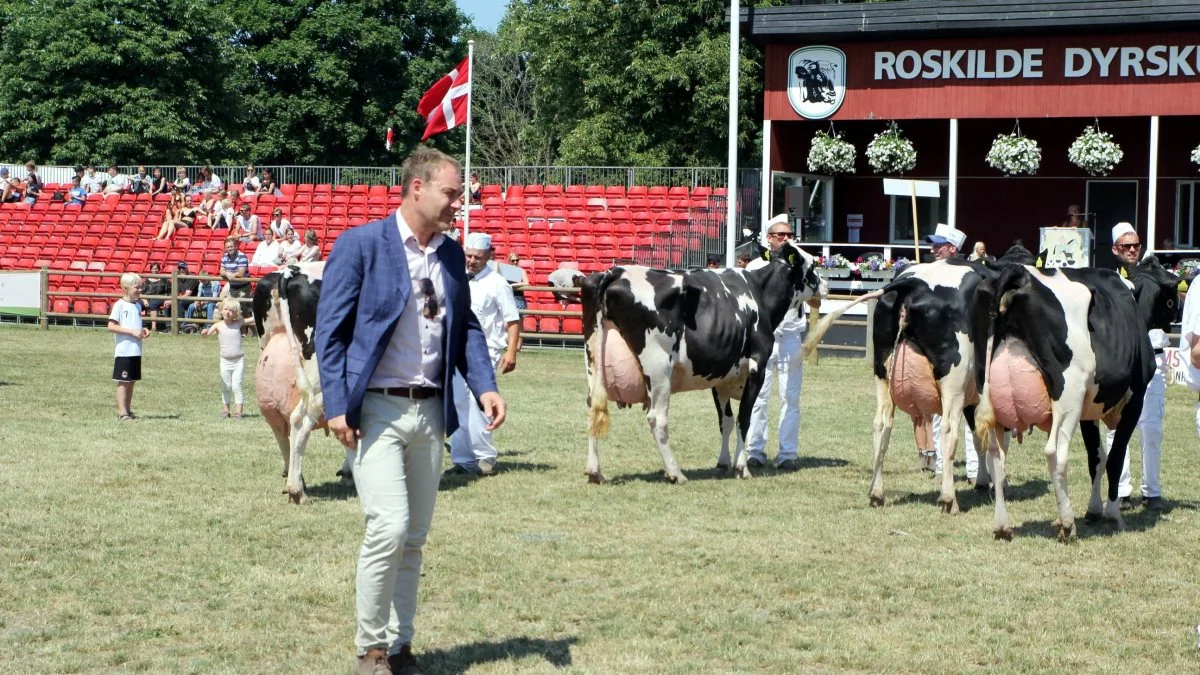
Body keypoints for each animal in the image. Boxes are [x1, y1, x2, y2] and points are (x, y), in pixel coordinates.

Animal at [578, 241, 825, 482]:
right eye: (813, 265)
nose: (825, 283)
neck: (759, 292)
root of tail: (614, 272)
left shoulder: (722, 374)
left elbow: (726, 420)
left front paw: (723, 463)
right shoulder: (757, 366)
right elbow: (744, 419)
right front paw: (742, 468)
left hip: (593, 364)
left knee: (592, 410)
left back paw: (594, 471)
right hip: (658, 369)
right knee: (657, 418)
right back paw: (675, 473)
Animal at [806, 257, 993, 509]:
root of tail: (912, 282)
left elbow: (978, 436)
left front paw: (983, 481)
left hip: (882, 373)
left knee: (881, 424)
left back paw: (876, 493)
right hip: (954, 380)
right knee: (948, 429)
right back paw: (948, 500)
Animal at [969, 257, 1176, 540]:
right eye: (1171, 298)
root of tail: (1018, 273)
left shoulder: (1089, 410)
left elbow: (1096, 458)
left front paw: (1094, 510)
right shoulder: (1135, 400)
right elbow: (1115, 458)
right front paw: (1112, 515)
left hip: (988, 390)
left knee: (996, 454)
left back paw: (1002, 526)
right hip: (1069, 397)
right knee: (1054, 452)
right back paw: (1067, 523)